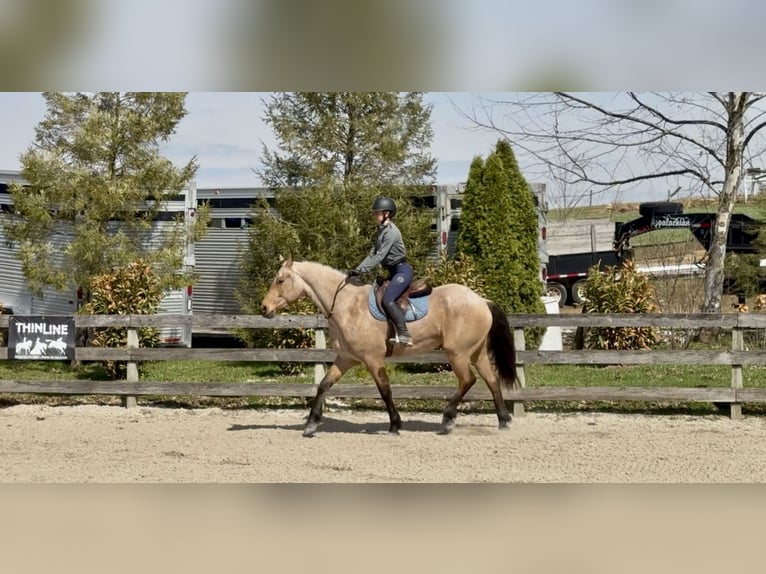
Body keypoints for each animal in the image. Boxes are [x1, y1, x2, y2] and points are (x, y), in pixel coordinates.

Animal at [260, 258, 517, 437]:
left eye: (280, 280)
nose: (264, 308)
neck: (346, 304)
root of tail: (481, 300)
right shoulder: (345, 359)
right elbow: (324, 385)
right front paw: (311, 425)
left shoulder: (373, 359)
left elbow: (385, 390)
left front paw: (395, 424)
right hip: (476, 353)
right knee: (492, 380)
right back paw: (503, 420)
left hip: (458, 354)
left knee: (468, 381)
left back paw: (447, 420)